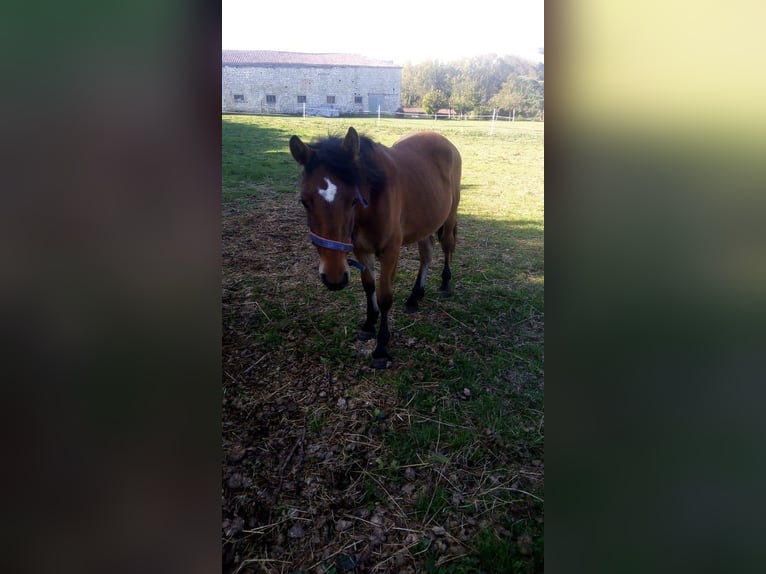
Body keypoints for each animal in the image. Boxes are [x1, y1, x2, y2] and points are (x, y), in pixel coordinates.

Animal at [289, 127, 461, 369]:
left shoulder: (390, 252)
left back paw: (445, 283)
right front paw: (369, 324)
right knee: (426, 255)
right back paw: (415, 296)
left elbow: (385, 296)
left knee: (447, 246)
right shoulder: (361, 250)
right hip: (425, 223)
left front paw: (381, 348)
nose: (334, 278)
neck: (373, 200)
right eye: (304, 201)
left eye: (353, 200)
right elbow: (368, 286)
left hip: (449, 216)